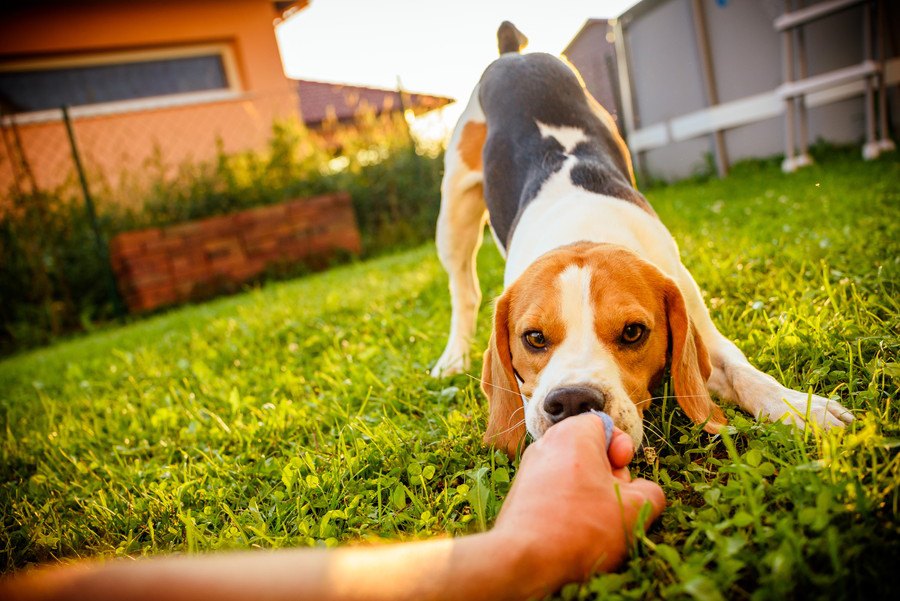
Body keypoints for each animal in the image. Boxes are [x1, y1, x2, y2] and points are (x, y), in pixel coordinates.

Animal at [428, 22, 852, 454]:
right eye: (533, 338)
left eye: (633, 333)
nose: (573, 401)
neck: (584, 227)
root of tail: (514, 55)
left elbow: (741, 371)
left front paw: (802, 408)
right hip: (453, 211)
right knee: (464, 292)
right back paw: (452, 358)